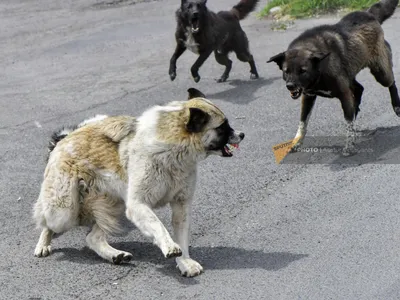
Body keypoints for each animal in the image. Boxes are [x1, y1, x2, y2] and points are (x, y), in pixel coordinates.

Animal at [32, 88, 244, 278]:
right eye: (223, 127)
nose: (242, 135)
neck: (173, 147)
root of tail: (66, 137)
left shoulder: (181, 206)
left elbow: (181, 237)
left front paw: (185, 263)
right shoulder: (137, 205)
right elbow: (158, 225)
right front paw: (169, 246)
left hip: (114, 204)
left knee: (92, 238)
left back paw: (115, 255)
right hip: (64, 210)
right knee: (47, 223)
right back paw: (43, 244)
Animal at [268, 0, 400, 155]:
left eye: (303, 71)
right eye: (286, 71)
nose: (290, 86)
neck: (319, 69)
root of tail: (369, 14)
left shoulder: (344, 94)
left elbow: (348, 122)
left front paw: (349, 145)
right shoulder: (308, 96)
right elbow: (303, 122)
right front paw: (296, 143)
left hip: (380, 72)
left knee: (391, 82)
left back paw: (396, 106)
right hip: (350, 75)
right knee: (359, 89)